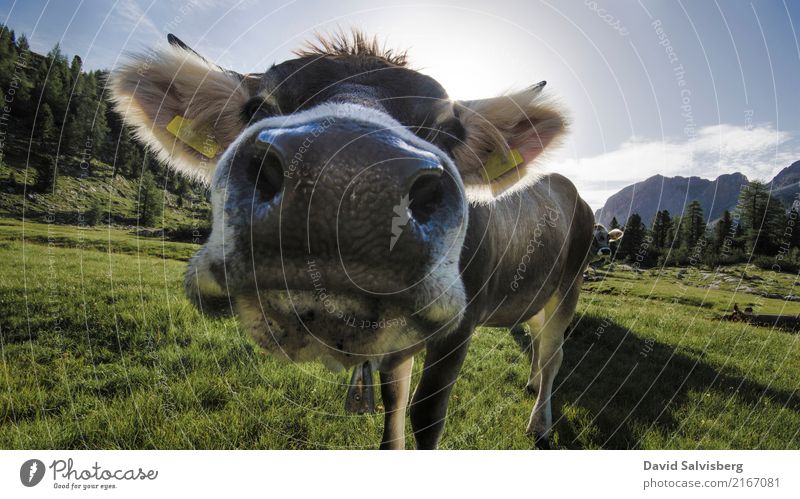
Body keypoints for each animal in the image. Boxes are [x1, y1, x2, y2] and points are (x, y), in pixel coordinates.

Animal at [108, 32, 592, 454]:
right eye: (257, 107)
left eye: (450, 132)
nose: (340, 180)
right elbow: (393, 404)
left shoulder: (461, 326)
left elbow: (425, 415)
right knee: (538, 337)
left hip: (570, 284)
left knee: (554, 352)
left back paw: (540, 421)